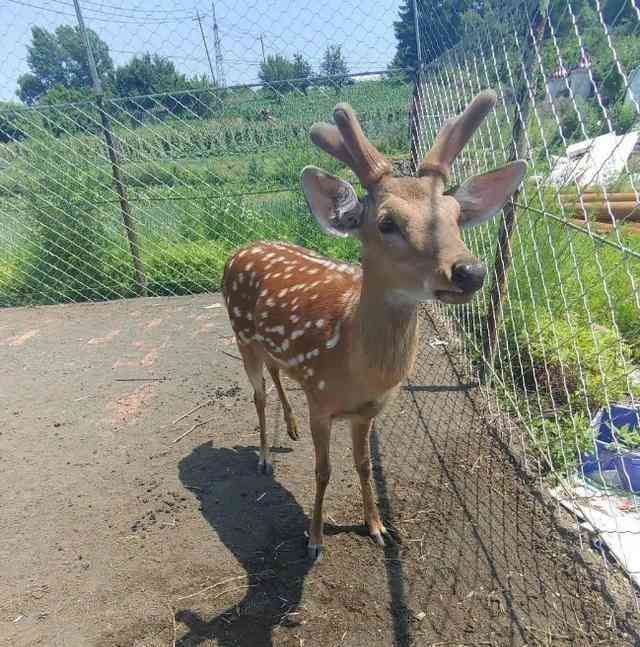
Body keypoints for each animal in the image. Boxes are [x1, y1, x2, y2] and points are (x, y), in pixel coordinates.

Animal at [220, 91, 524, 560]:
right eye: (386, 222)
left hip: (272, 347)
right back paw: (265, 456)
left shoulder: (367, 411)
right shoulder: (321, 401)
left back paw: (288, 429)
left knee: (276, 372)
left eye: (457, 216)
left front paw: (378, 526)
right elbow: (324, 470)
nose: (470, 272)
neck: (353, 362)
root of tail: (241, 248)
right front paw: (314, 539)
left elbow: (365, 466)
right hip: (240, 334)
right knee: (258, 393)